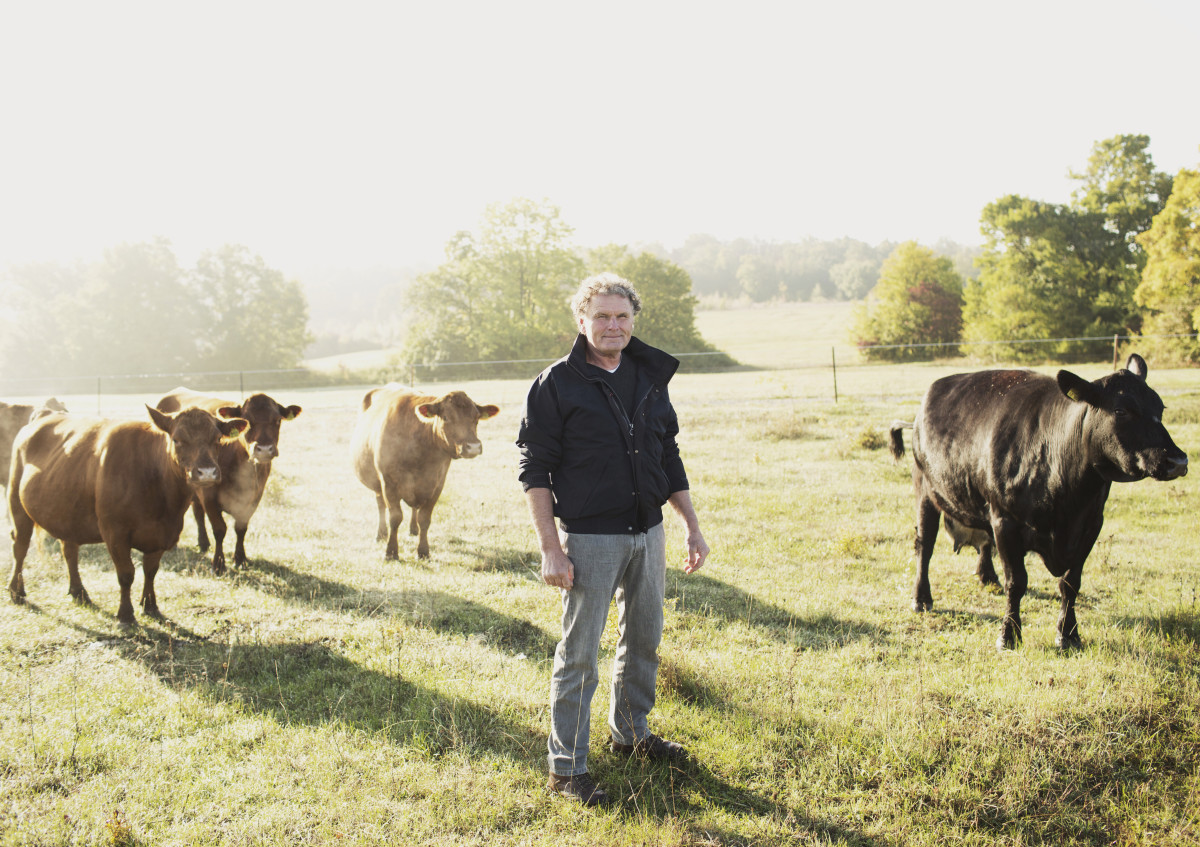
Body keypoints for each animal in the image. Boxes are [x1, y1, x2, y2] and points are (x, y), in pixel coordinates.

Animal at [6, 405, 246, 623]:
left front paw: (150, 605)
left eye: (217, 439)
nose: (207, 472)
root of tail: (45, 414)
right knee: (20, 547)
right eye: (177, 439)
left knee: (69, 551)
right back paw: (16, 590)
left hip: (67, 513)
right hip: (17, 503)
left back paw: (79, 591)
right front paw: (125, 614)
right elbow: (126, 574)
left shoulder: (162, 535)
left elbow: (151, 571)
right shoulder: (115, 533)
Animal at [156, 386, 302, 571]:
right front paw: (218, 564)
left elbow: (241, 528)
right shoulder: (209, 495)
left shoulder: (254, 497)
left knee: (198, 513)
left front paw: (240, 558)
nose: (264, 449)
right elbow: (220, 529)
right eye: (248, 421)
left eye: (277, 420)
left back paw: (203, 543)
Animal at [350, 383, 499, 556]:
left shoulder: (437, 484)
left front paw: (423, 551)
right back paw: (381, 534)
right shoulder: (388, 482)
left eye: (476, 418)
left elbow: (425, 519)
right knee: (381, 505)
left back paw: (413, 529)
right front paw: (391, 552)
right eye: (446, 417)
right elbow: (395, 517)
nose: (473, 446)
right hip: (377, 482)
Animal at [892, 352, 1180, 647]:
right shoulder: (1005, 521)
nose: (1177, 460)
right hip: (926, 493)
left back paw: (988, 577)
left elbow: (1070, 583)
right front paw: (1009, 635)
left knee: (984, 543)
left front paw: (1068, 634)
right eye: (1121, 410)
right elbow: (1016, 582)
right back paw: (922, 597)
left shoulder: (1091, 524)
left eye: (1161, 408)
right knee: (925, 545)